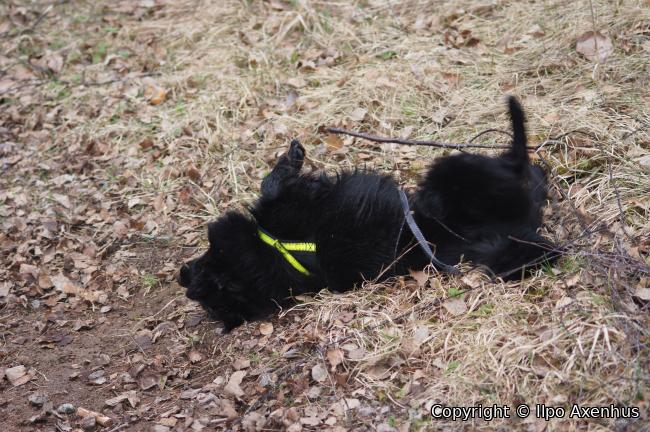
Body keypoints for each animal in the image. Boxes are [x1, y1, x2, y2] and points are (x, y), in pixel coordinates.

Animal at [179, 97, 556, 330]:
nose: (182, 275)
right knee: (521, 169)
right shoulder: (290, 204)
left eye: (198, 269)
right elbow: (272, 185)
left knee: (534, 175)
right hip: (455, 173)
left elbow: (270, 183)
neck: (277, 251)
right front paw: (292, 159)